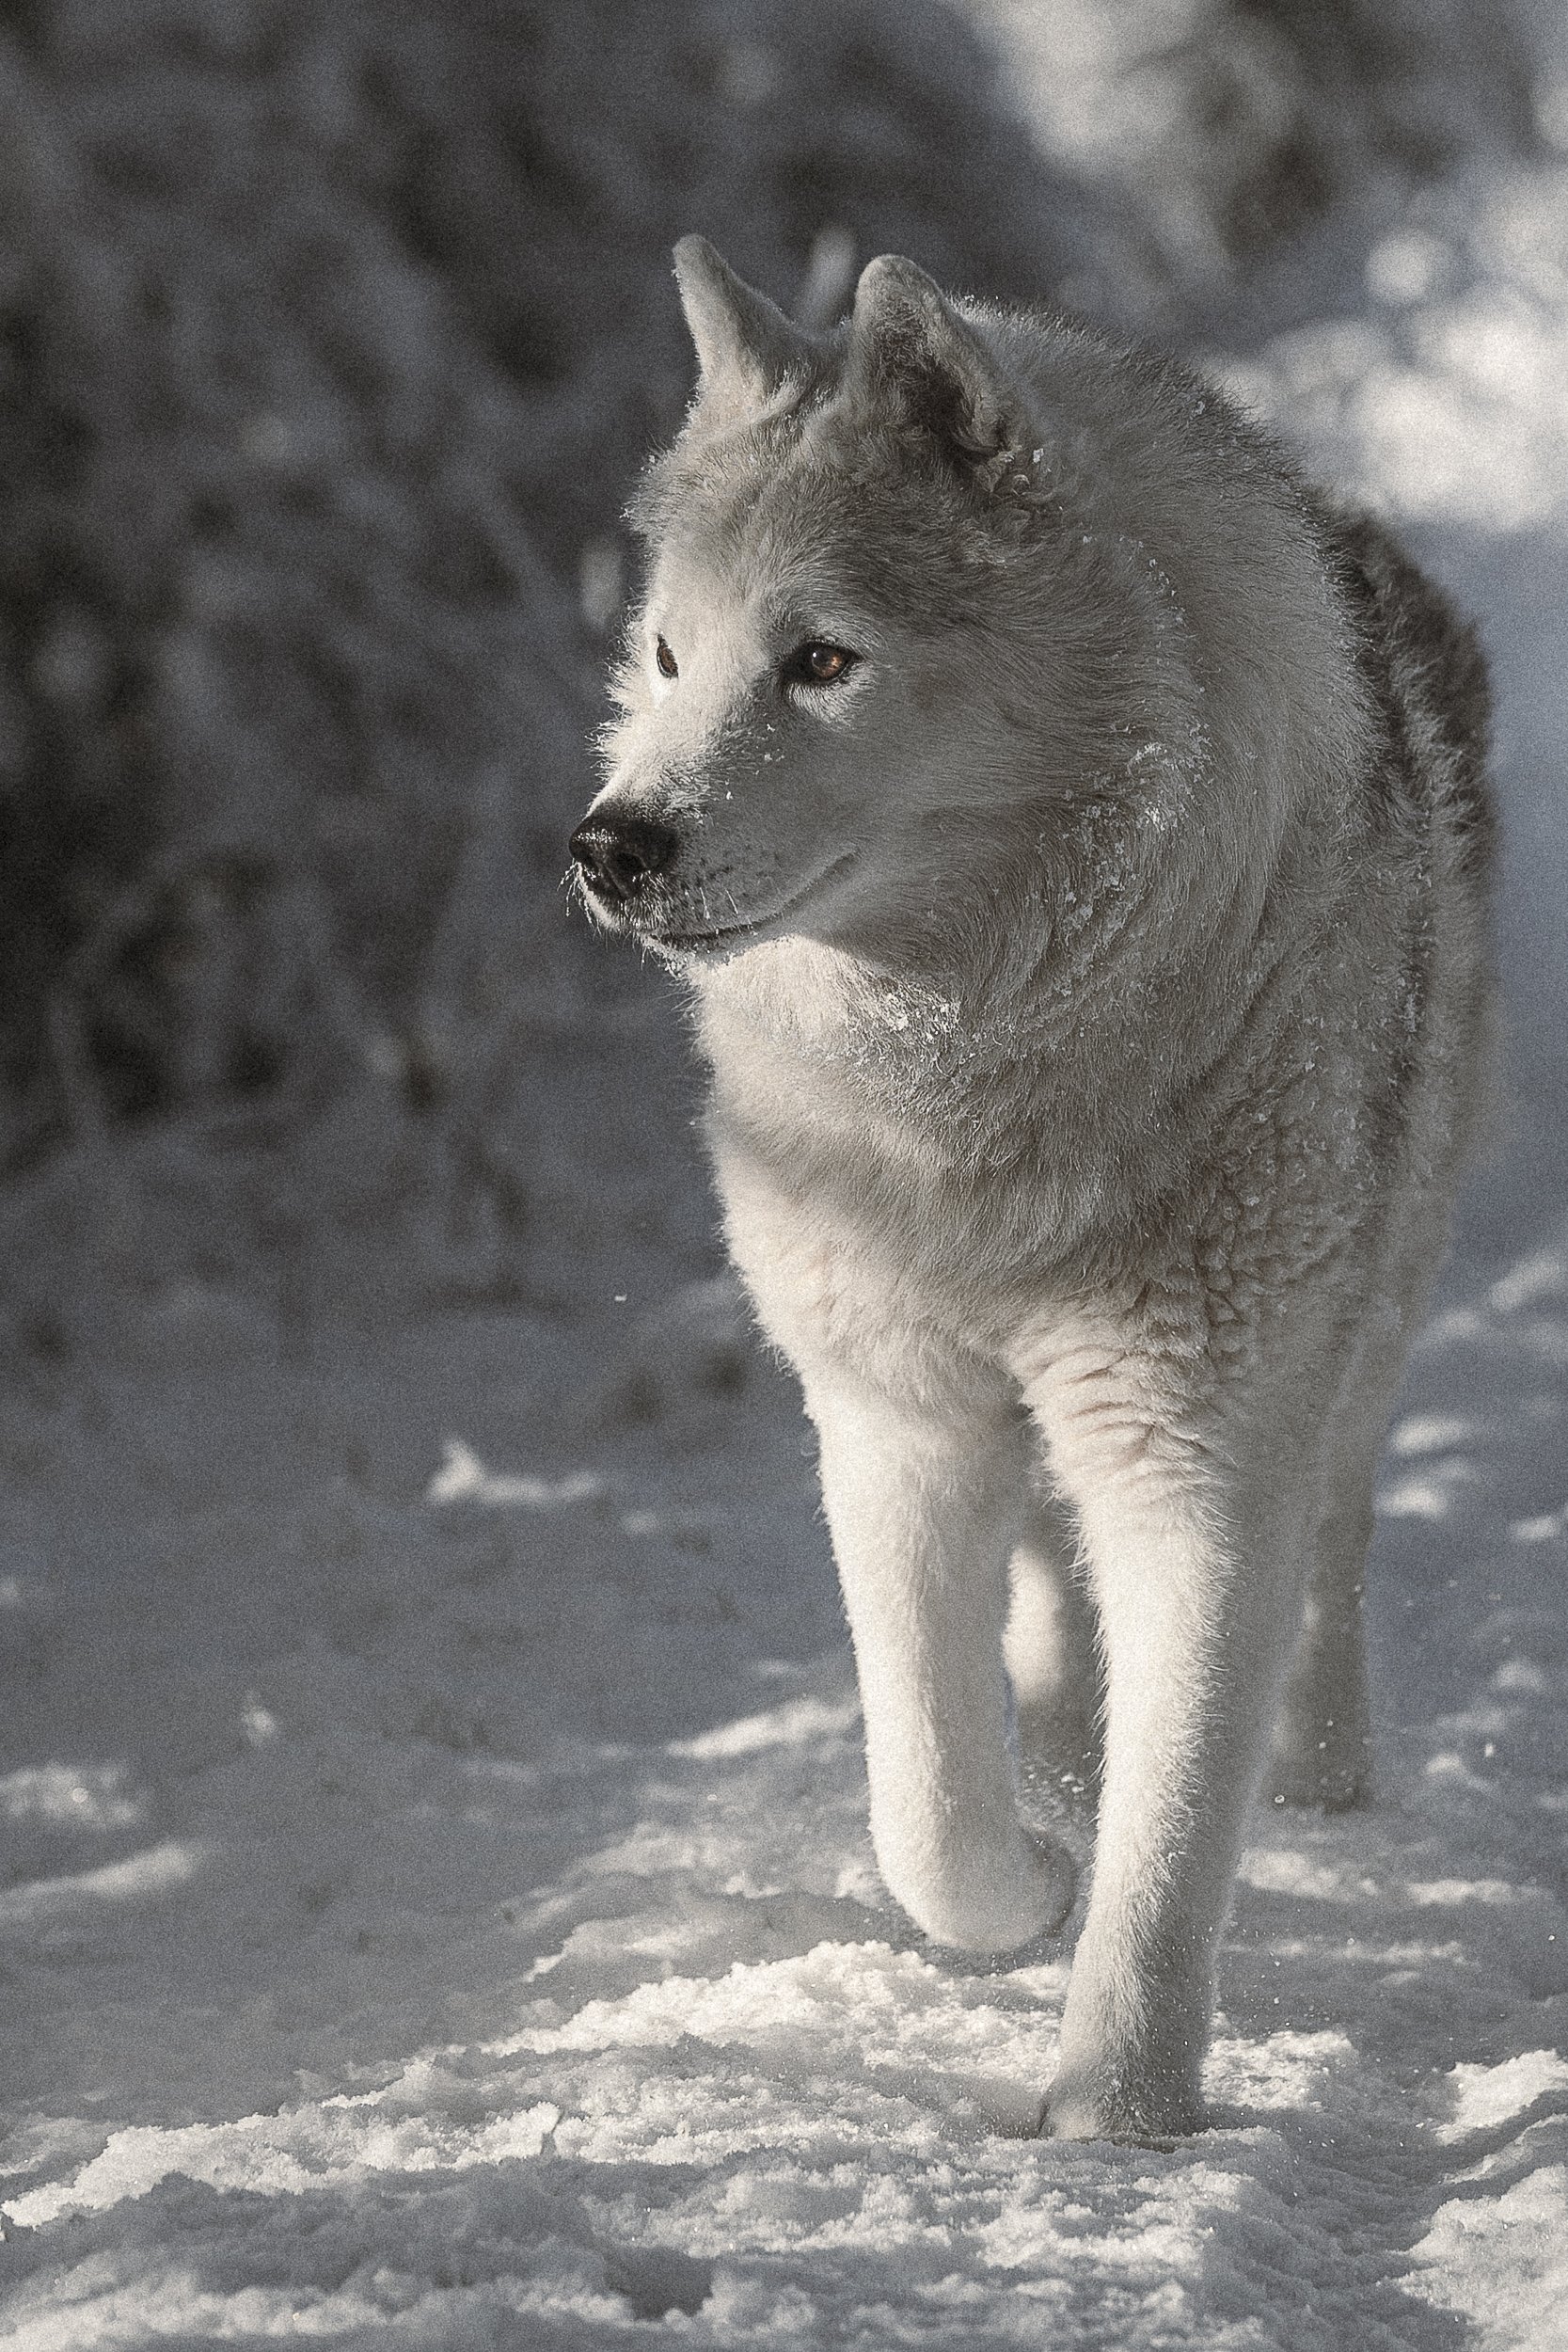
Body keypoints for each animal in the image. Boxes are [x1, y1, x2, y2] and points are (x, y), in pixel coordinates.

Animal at [568, 236, 1496, 2142]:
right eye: (670, 654)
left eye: (821, 659)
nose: (609, 846)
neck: (980, 1088)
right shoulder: (896, 1421)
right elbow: (926, 1796)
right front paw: (1029, 1888)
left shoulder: (1198, 1457)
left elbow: (1175, 1840)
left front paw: (1114, 2126)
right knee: (1055, 1621)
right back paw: (1064, 1768)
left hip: (1348, 1324)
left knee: (1336, 1529)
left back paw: (1317, 1768)